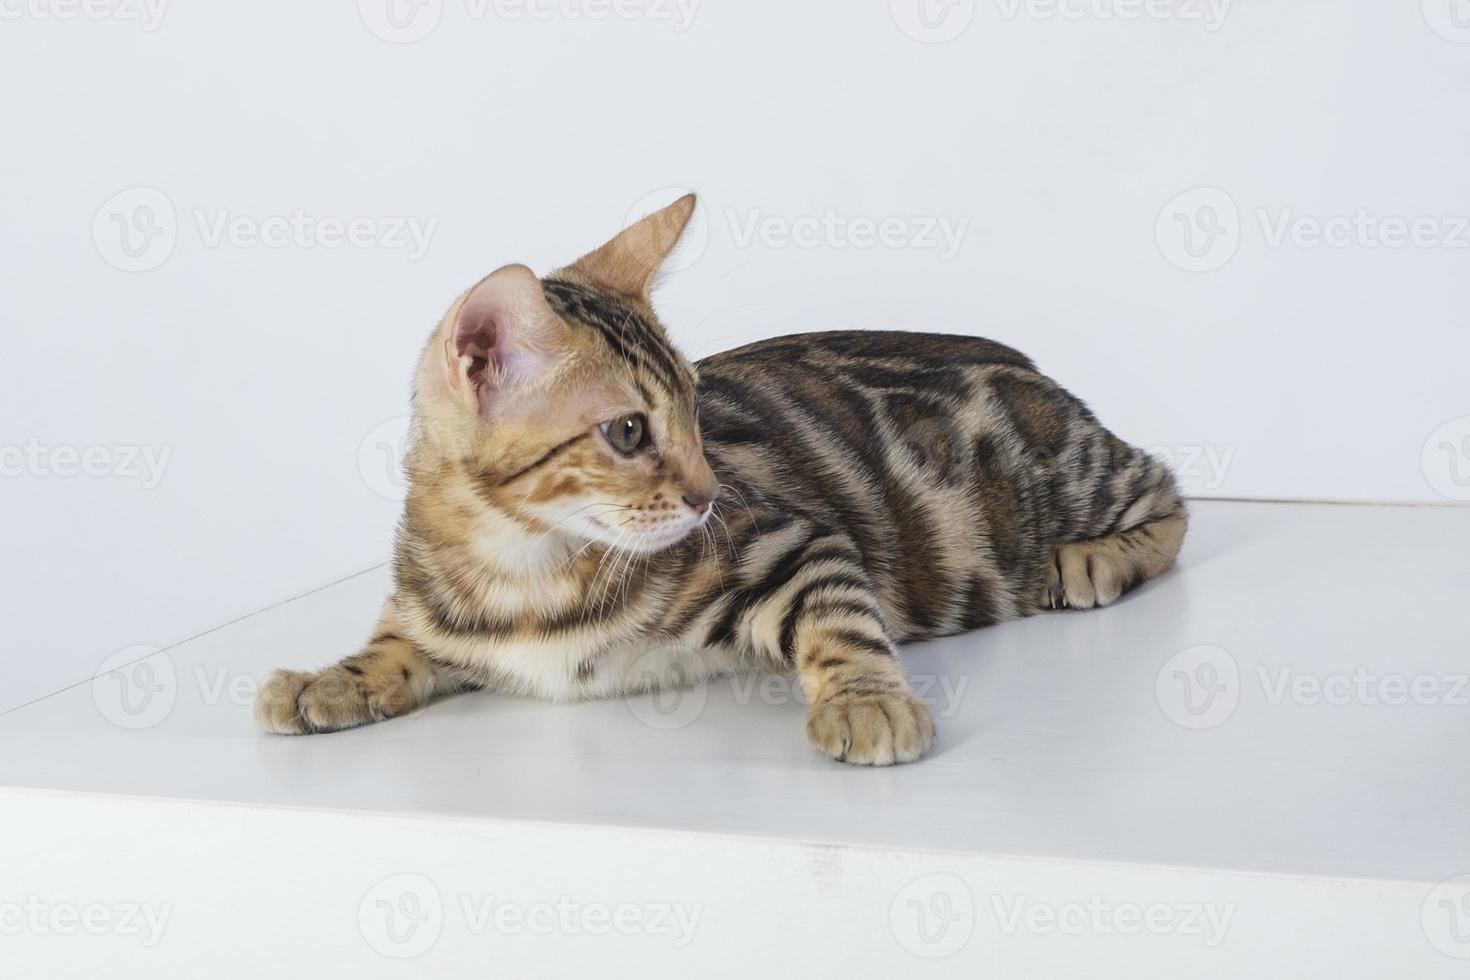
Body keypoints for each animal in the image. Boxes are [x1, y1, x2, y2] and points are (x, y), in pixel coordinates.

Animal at [255, 195, 1181, 764]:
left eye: (700, 414)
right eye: (629, 431)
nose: (707, 497)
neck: (522, 566)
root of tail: (1023, 360)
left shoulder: (793, 544)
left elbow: (843, 624)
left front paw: (864, 701)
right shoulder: (438, 620)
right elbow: (392, 646)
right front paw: (324, 680)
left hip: (1062, 482)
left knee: (1169, 490)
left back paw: (1093, 558)